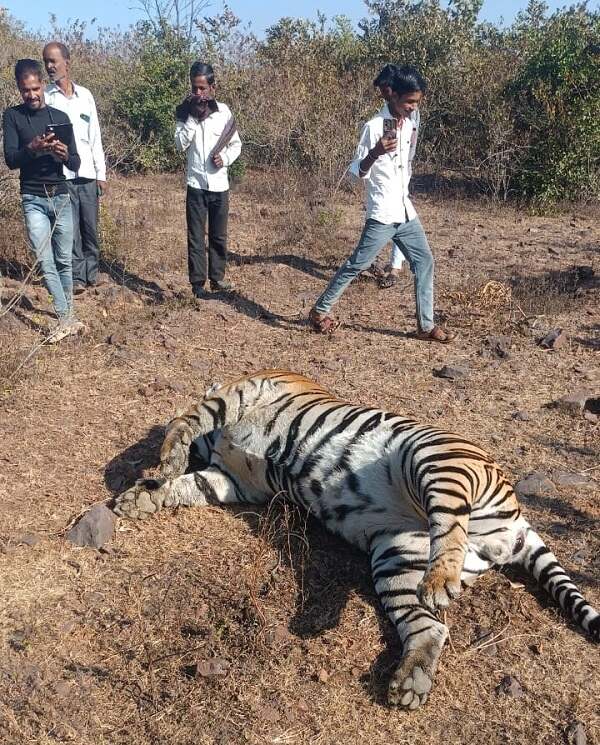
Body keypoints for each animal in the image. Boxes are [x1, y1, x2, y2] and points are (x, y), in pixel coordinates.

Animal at [113, 369, 599, 710]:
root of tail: (516, 522)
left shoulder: (247, 389)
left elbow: (189, 418)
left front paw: (167, 456)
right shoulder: (233, 481)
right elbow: (185, 485)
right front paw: (138, 499)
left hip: (436, 457)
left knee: (450, 527)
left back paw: (441, 584)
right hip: (396, 559)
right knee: (431, 626)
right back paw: (409, 683)